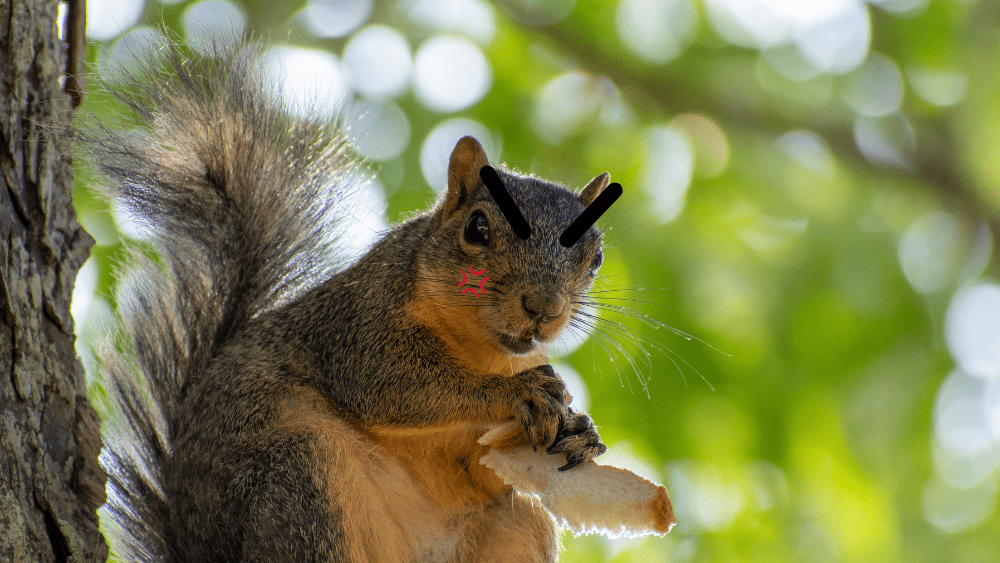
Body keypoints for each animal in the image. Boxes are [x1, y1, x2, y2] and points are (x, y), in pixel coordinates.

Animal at [92, 39, 624, 563]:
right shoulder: (356, 319)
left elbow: (489, 466)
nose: (543, 308)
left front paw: (581, 431)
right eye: (477, 227)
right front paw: (515, 393)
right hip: (297, 477)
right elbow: (383, 381)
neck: (478, 349)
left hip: (513, 529)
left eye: (596, 257)